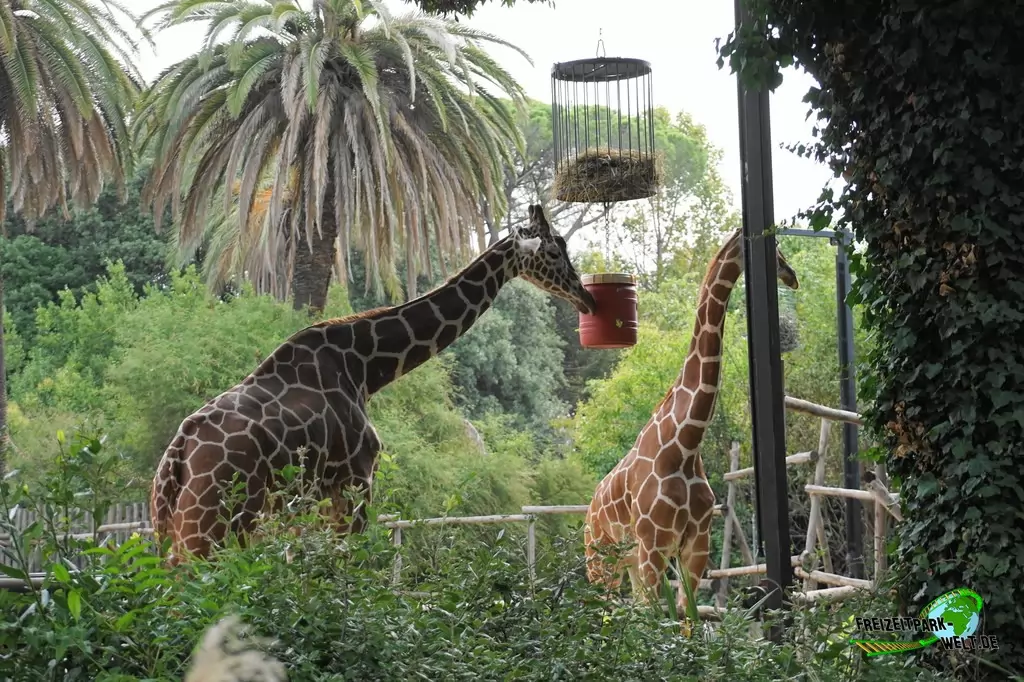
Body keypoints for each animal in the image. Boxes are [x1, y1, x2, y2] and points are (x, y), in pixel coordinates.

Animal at [150, 204, 596, 565]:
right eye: (555, 251)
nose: (586, 298)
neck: (365, 368)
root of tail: (176, 457)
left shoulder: (309, 502)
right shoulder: (356, 481)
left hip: (172, 529)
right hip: (216, 523)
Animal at [583, 228, 799, 624]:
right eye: (774, 249)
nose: (791, 276)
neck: (684, 442)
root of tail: (588, 511)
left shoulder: (694, 545)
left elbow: (687, 618)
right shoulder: (654, 544)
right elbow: (657, 620)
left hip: (629, 562)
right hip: (600, 559)